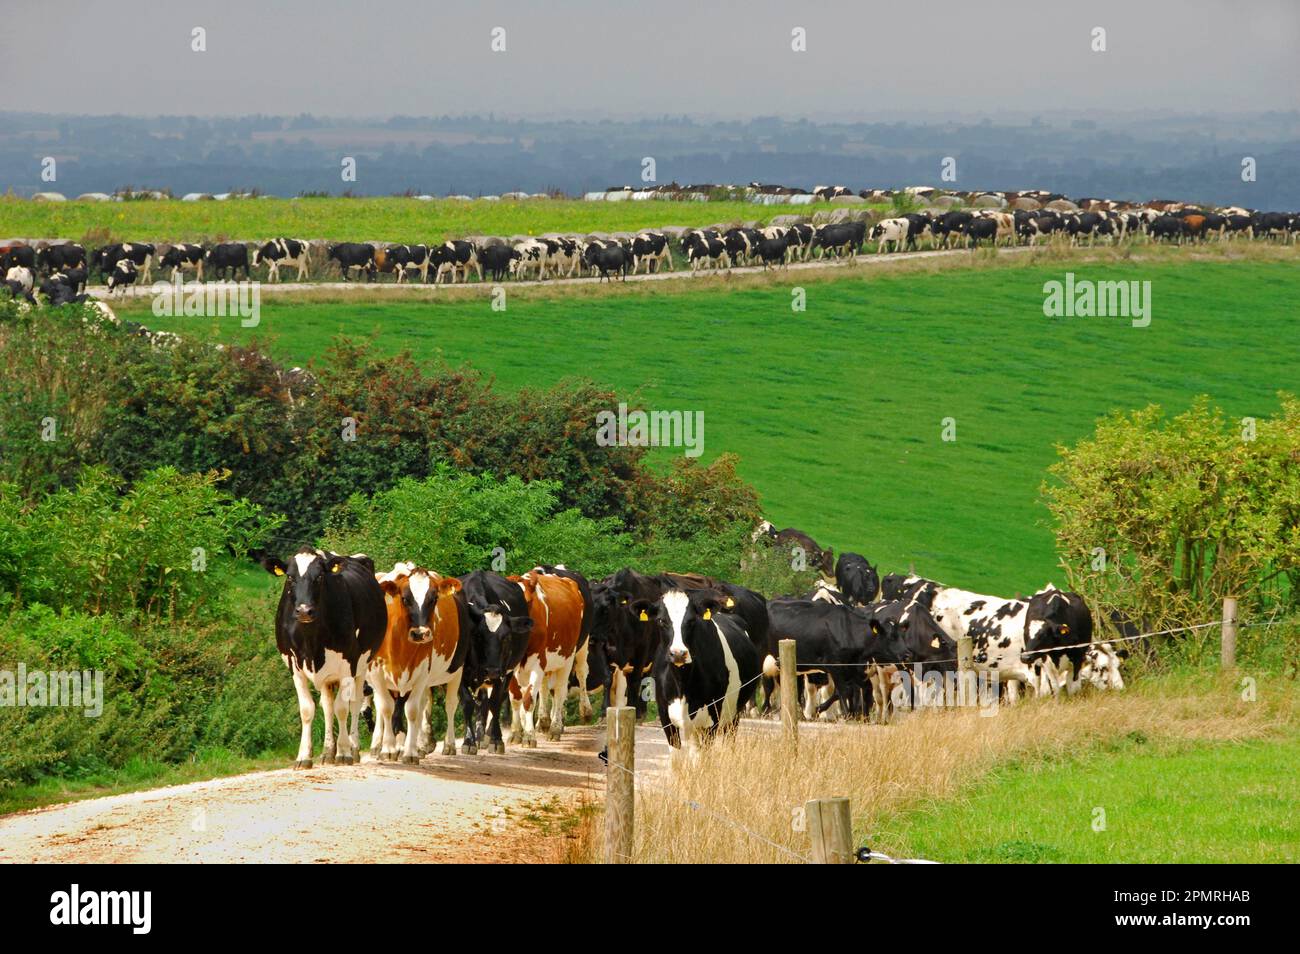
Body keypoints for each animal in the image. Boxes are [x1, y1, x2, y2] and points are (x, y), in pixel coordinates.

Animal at [263, 549, 387, 768]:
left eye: (320, 576)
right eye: (290, 577)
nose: (304, 610)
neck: (311, 640)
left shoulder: (347, 665)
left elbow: (342, 708)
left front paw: (344, 753)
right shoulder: (294, 667)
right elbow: (308, 710)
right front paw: (304, 756)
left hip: (362, 666)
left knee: (355, 704)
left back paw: (353, 748)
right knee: (327, 706)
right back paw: (328, 751)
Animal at [368, 565, 473, 762]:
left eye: (434, 599)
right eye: (404, 598)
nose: (420, 633)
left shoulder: (422, 672)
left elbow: (412, 710)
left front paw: (410, 752)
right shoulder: (376, 673)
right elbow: (386, 707)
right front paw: (388, 749)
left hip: (456, 670)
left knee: (450, 704)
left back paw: (447, 745)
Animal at [652, 588, 761, 751]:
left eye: (692, 621)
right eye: (661, 621)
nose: (678, 653)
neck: (682, 684)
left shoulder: (712, 718)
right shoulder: (666, 717)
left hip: (733, 713)